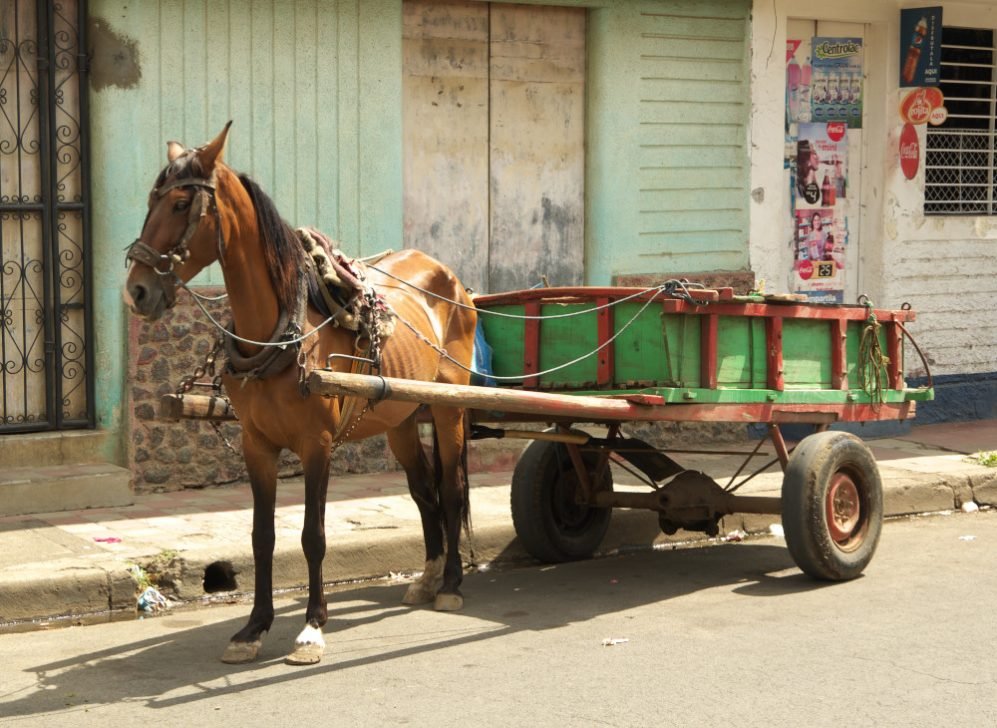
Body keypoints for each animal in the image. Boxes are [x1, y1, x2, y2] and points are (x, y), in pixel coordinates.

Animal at [122, 123, 476, 664]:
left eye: (181, 204)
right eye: (149, 201)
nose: (137, 291)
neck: (278, 331)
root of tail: (450, 278)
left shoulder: (317, 445)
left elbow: (313, 535)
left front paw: (311, 627)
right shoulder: (257, 445)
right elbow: (262, 537)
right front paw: (253, 627)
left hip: (447, 406)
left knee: (452, 490)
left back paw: (452, 583)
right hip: (398, 417)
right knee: (424, 492)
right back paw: (429, 576)